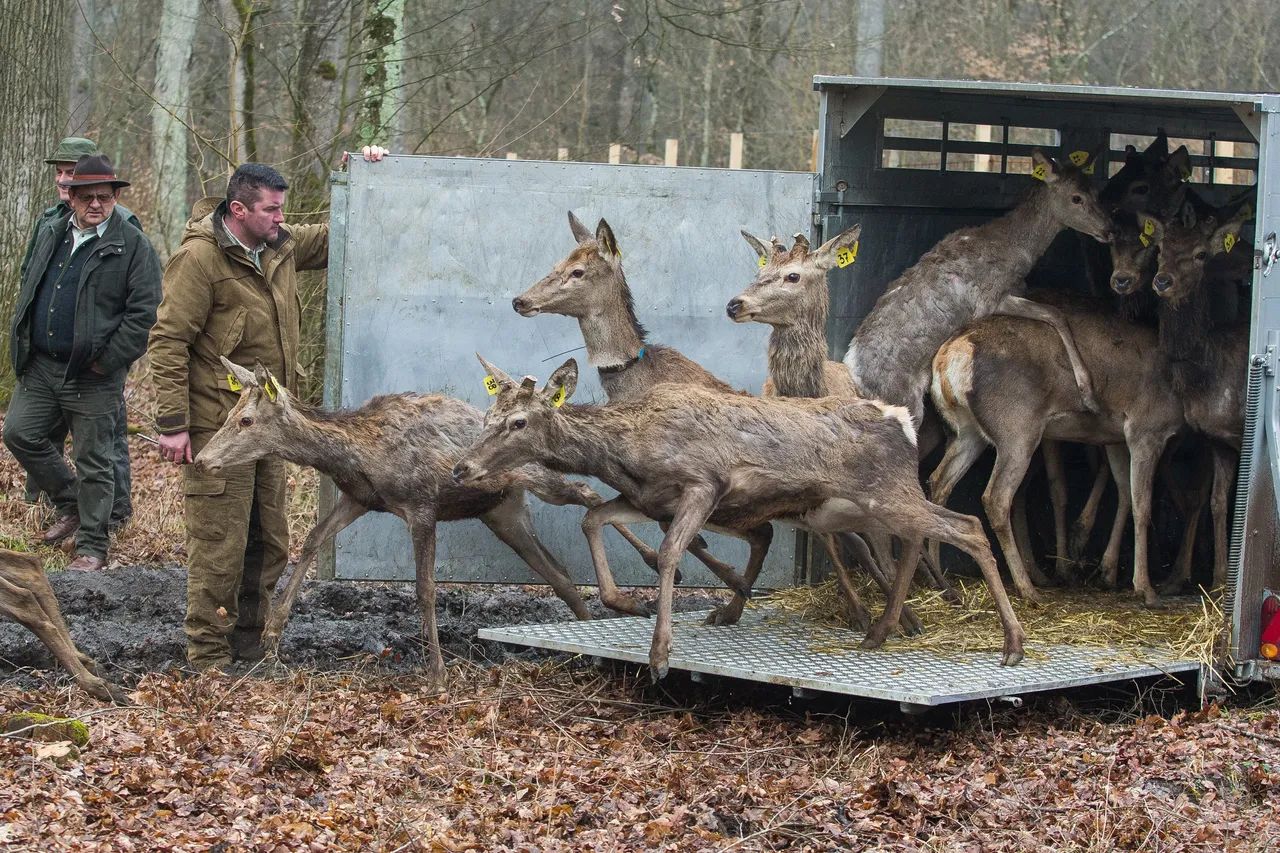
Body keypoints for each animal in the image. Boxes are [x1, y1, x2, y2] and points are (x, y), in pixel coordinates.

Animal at [192, 356, 680, 686]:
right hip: (503, 513)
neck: (357, 453)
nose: (201, 460)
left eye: (246, 419)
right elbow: (312, 540)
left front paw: (438, 673)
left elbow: (425, 589)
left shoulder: (421, 505)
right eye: (230, 415)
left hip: (538, 483)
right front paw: (272, 636)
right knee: (557, 572)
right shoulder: (360, 499)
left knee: (588, 494)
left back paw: (645, 572)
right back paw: (584, 639)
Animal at [455, 348, 1024, 676]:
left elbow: (669, 554)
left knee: (967, 526)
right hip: (872, 503)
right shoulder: (646, 499)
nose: (462, 467)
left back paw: (1012, 644)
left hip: (886, 493)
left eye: (519, 422)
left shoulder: (703, 484)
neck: (626, 451)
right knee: (914, 540)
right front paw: (626, 603)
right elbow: (594, 519)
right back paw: (880, 631)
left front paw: (660, 654)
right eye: (486, 417)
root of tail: (902, 420)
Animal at [839, 147, 1111, 425]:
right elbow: (1055, 314)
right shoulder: (989, 297)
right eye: (1076, 197)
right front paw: (1089, 397)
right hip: (904, 401)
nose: (1109, 228)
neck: (1017, 251)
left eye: (1097, 191)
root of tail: (853, 378)